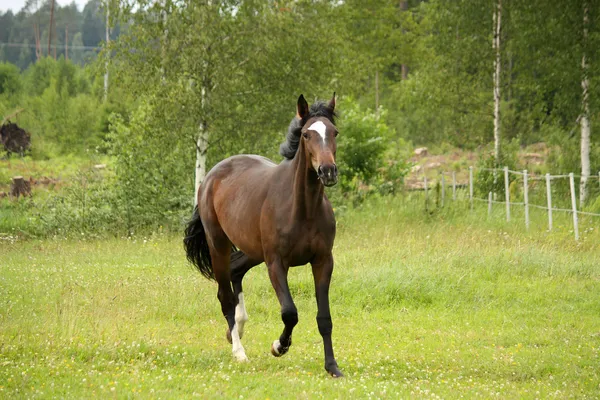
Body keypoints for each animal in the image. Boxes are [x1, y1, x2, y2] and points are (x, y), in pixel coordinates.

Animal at [183, 94, 342, 378]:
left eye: (334, 132)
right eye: (306, 134)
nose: (327, 171)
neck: (302, 208)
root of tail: (211, 176)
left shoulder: (323, 261)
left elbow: (324, 318)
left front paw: (332, 367)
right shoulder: (276, 263)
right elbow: (290, 312)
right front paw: (279, 346)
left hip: (253, 250)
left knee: (236, 272)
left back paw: (237, 328)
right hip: (219, 246)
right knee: (225, 296)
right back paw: (239, 352)